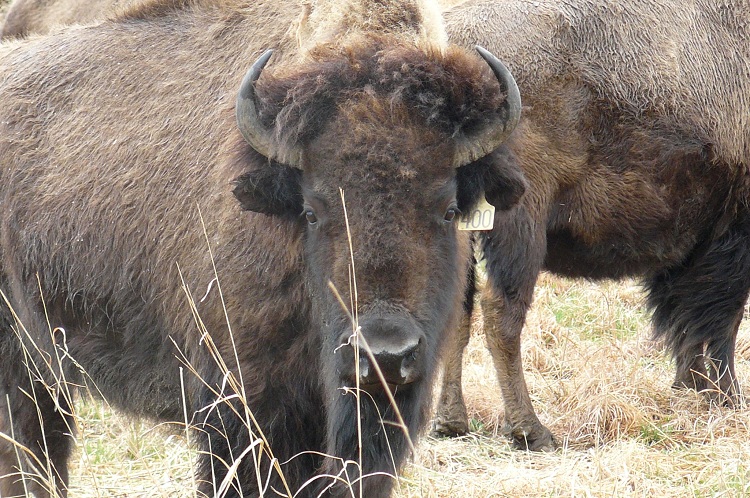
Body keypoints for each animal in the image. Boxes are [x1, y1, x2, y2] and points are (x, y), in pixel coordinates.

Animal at [432, 0, 750, 452]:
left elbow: (685, 323)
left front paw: (691, 390)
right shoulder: (729, 236)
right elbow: (720, 322)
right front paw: (725, 398)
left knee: (461, 308)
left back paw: (451, 421)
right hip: (520, 219)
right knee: (501, 313)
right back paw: (532, 430)